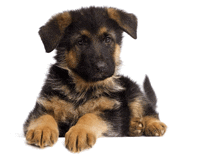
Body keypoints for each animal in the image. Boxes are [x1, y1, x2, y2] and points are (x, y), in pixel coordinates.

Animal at [23, 6, 167, 152]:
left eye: (108, 39)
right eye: (81, 42)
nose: (101, 67)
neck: (82, 88)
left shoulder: (111, 113)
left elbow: (90, 116)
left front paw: (80, 132)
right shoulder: (42, 107)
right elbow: (43, 116)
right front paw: (42, 129)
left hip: (133, 92)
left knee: (147, 109)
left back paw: (152, 124)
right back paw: (133, 126)